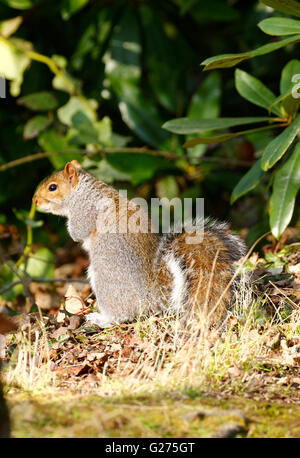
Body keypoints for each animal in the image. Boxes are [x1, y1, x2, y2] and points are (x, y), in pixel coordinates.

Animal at [34, 159, 247, 328]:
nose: (35, 201)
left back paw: (100, 319)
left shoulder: (83, 211)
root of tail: (150, 296)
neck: (83, 190)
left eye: (53, 187)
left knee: (121, 315)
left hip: (104, 280)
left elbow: (78, 232)